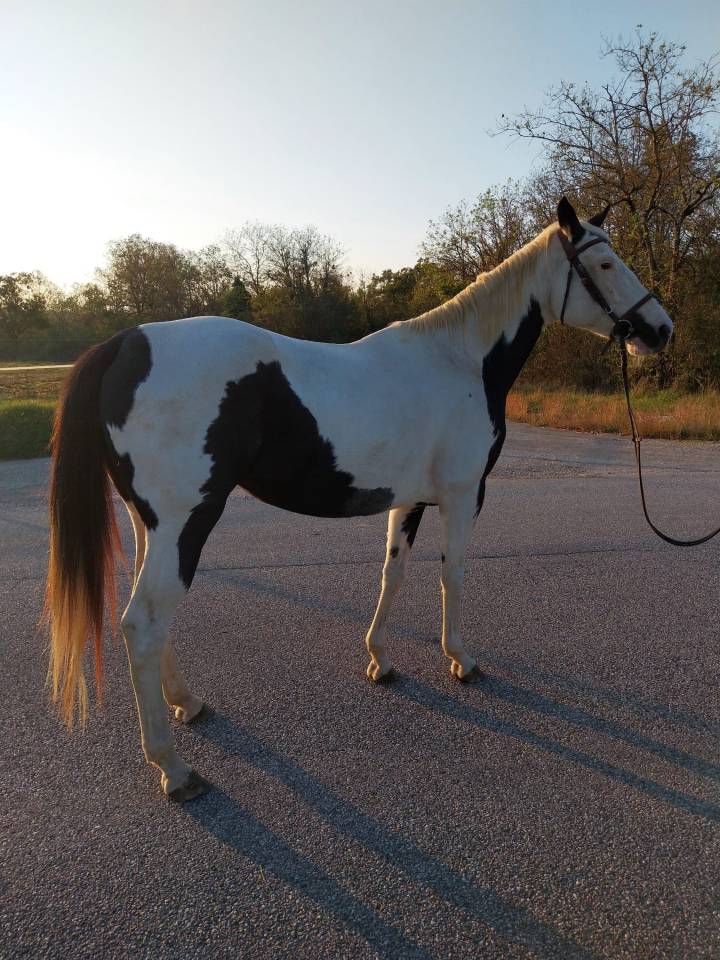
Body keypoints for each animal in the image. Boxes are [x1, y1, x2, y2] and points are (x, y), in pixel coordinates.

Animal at [46, 197, 673, 801]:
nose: (660, 330)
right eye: (604, 263)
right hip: (185, 524)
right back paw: (174, 769)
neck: (459, 361)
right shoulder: (462, 495)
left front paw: (380, 659)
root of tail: (123, 344)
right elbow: (453, 575)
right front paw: (460, 659)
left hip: (151, 525)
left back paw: (187, 704)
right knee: (145, 623)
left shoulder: (407, 500)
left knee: (148, 620)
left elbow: (392, 574)